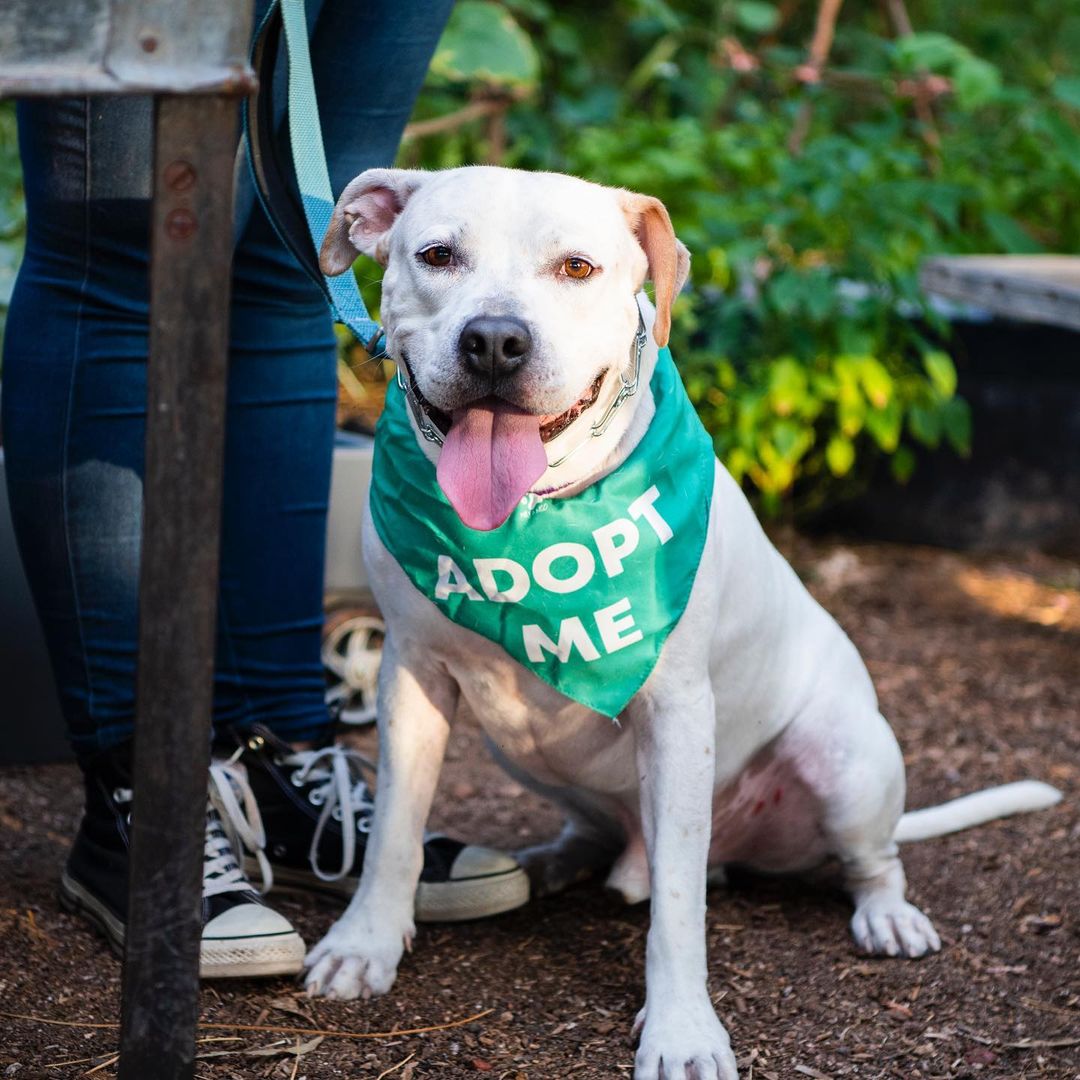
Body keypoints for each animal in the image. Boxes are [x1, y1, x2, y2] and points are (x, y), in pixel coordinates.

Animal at [300, 168, 1058, 1080]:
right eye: (438, 255)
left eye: (577, 267)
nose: (494, 341)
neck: (533, 517)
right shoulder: (412, 673)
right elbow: (394, 834)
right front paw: (365, 944)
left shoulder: (679, 712)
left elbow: (677, 905)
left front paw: (683, 1031)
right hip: (522, 754)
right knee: (601, 832)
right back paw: (553, 861)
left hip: (845, 759)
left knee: (869, 860)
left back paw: (886, 915)